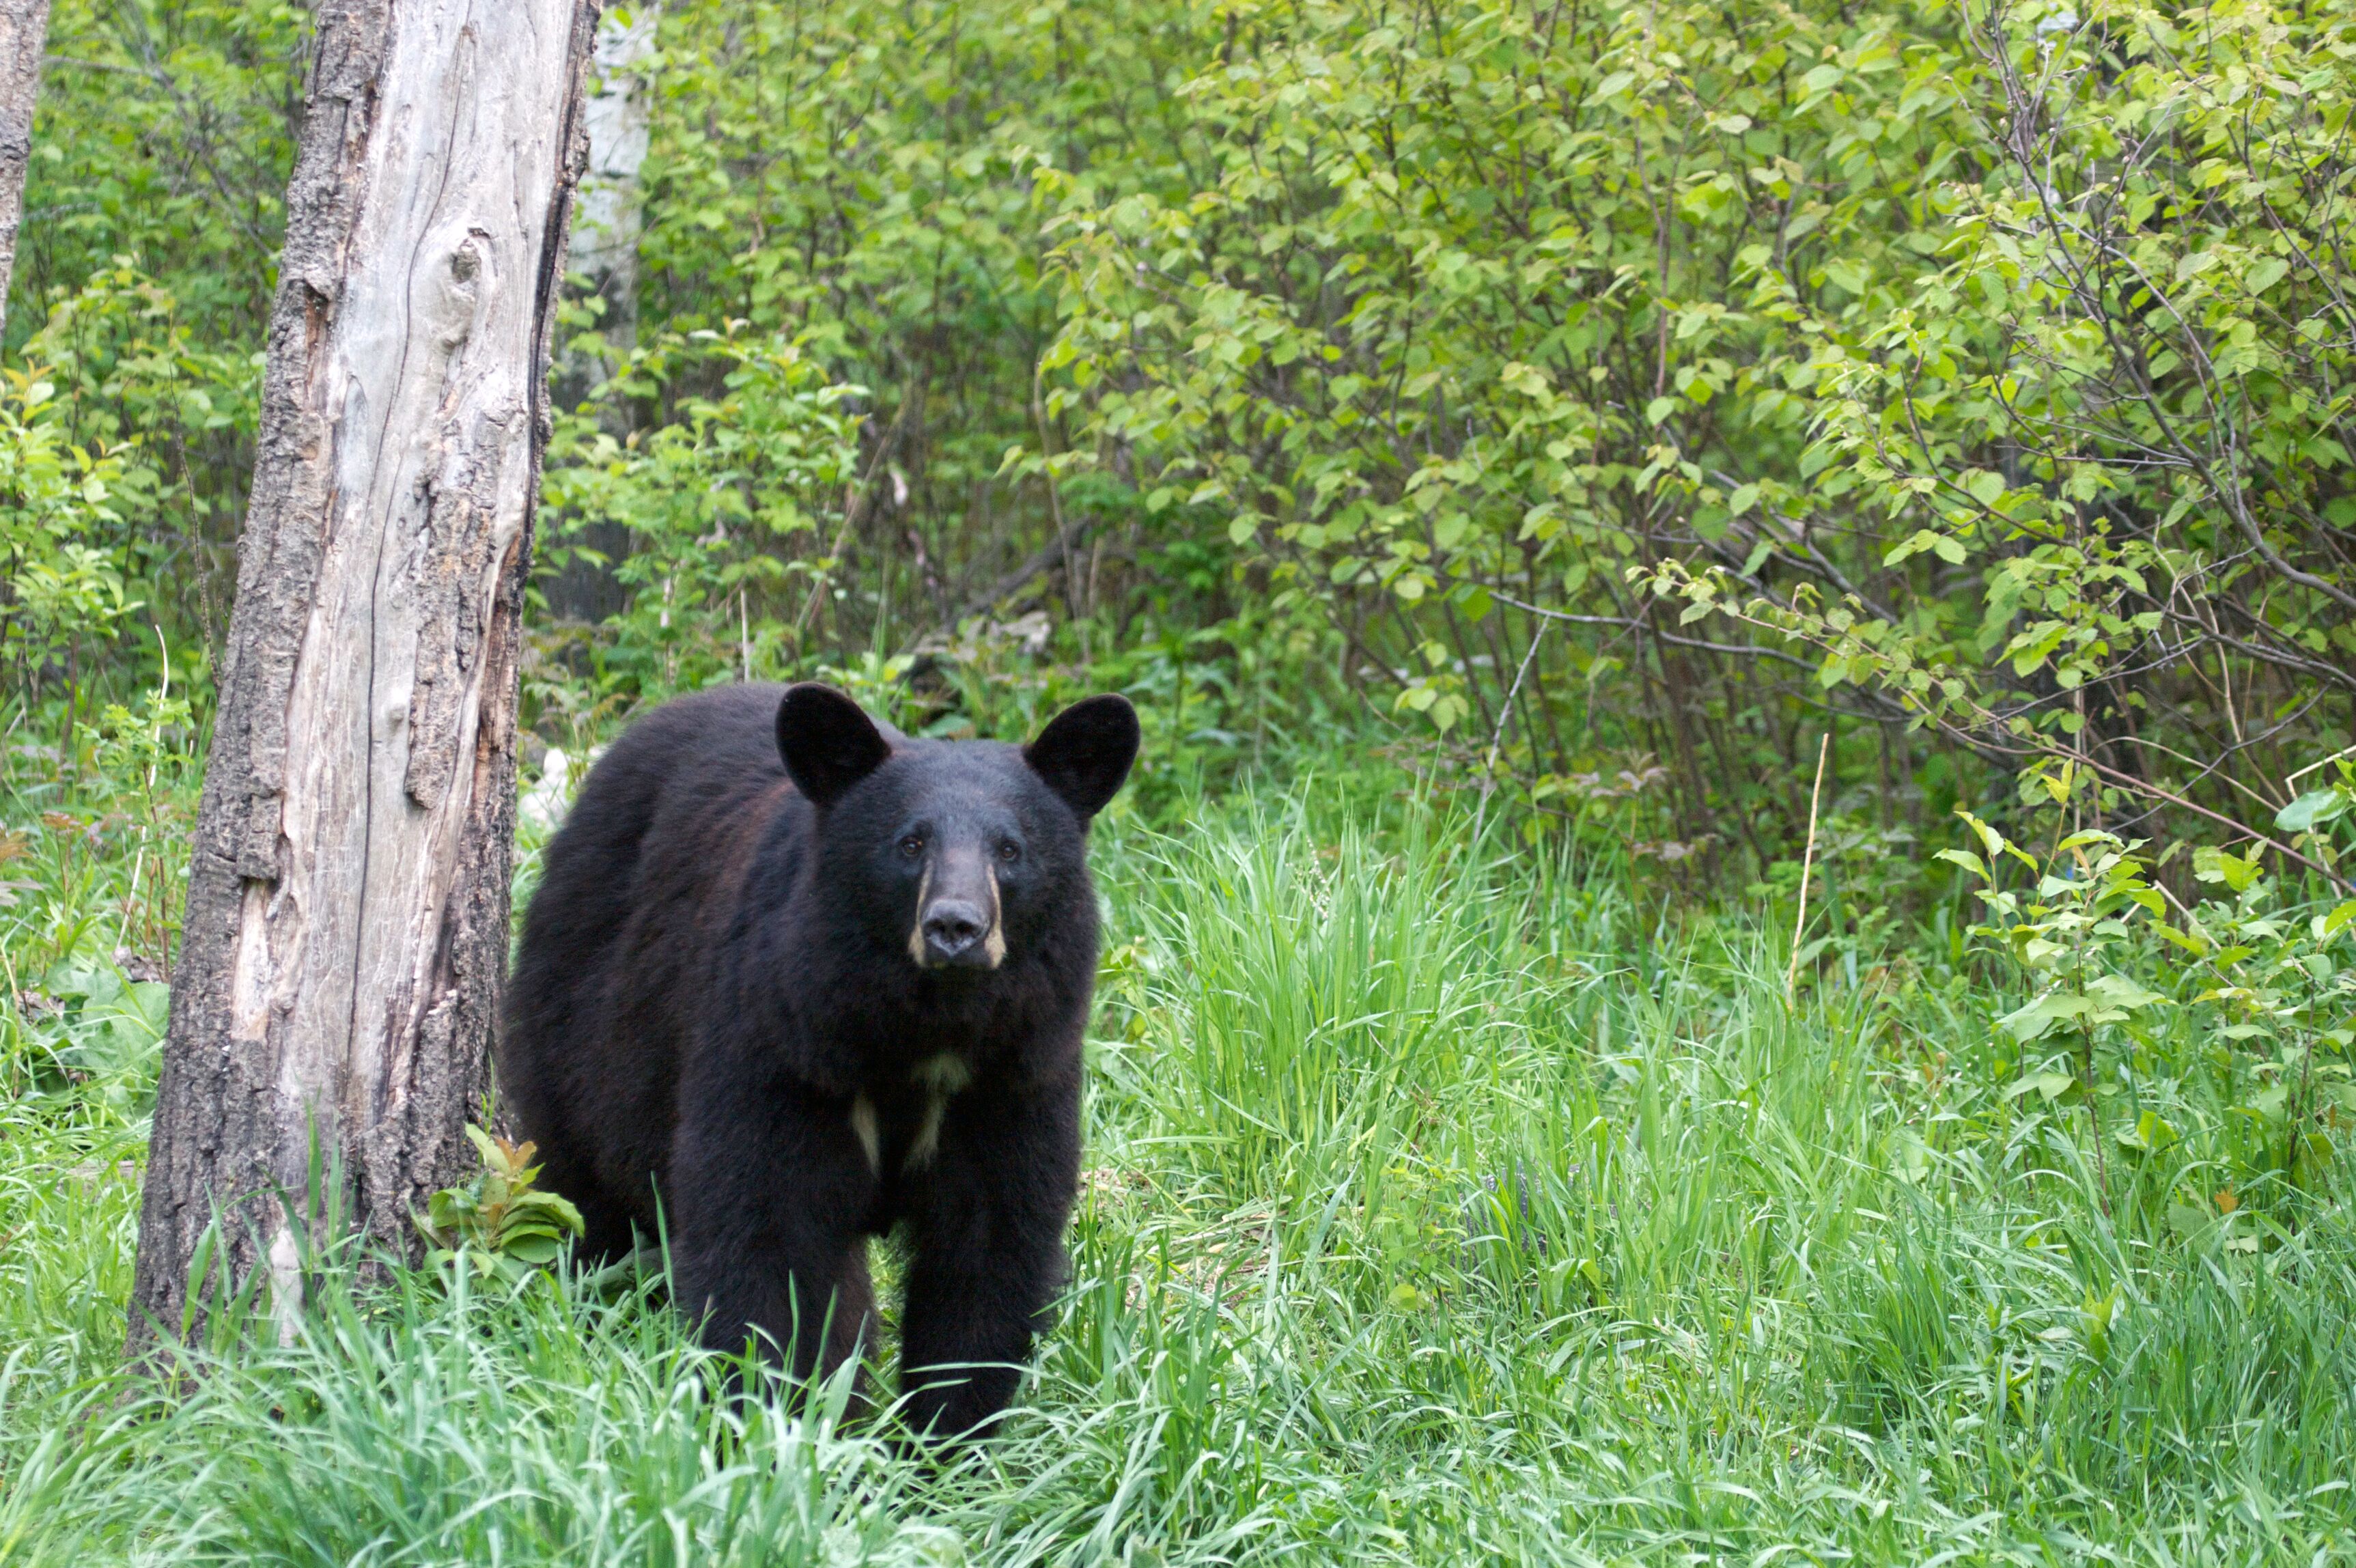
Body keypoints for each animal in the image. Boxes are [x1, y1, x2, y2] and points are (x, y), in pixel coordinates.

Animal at [504, 677, 1140, 1431]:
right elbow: (766, 1233)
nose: (955, 927)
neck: (926, 1028)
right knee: (586, 1183)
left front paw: (940, 1442)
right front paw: (769, 1424)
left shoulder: (1015, 1072)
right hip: (587, 1017)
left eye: (1010, 850)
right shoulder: (783, 1044)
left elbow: (989, 1246)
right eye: (910, 843)